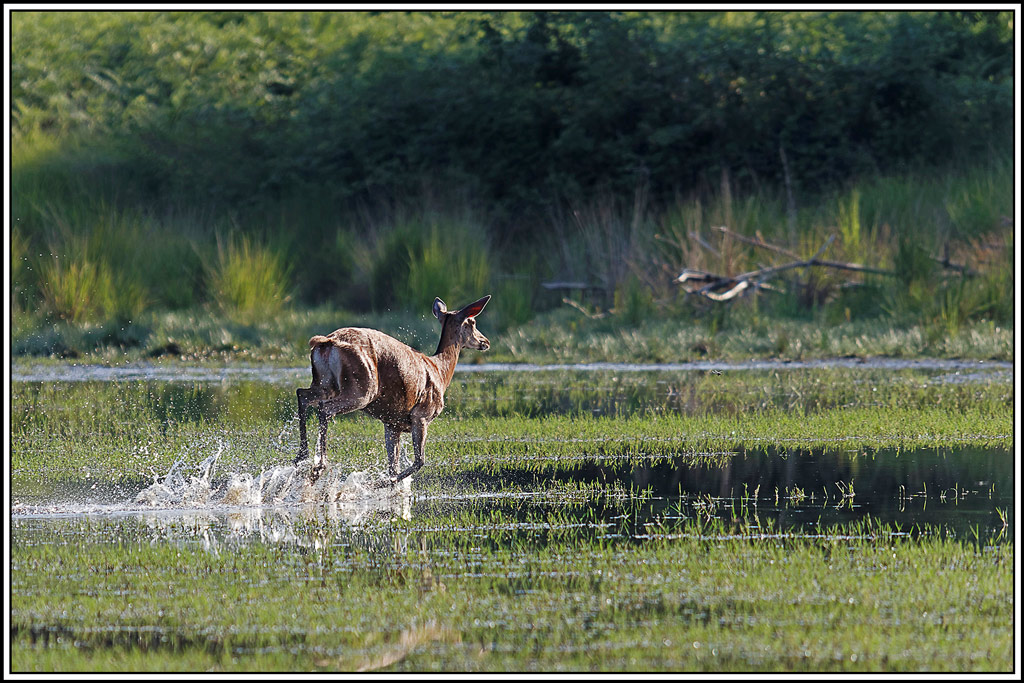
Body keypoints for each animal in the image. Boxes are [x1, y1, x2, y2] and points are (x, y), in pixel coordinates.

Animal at [294, 295, 491, 485]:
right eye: (472, 321)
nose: (486, 341)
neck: (441, 372)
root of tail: (328, 342)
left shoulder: (392, 423)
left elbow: (393, 466)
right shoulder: (421, 415)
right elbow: (419, 461)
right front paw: (379, 483)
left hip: (325, 383)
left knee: (302, 394)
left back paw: (301, 458)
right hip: (362, 388)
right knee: (325, 408)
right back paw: (318, 466)